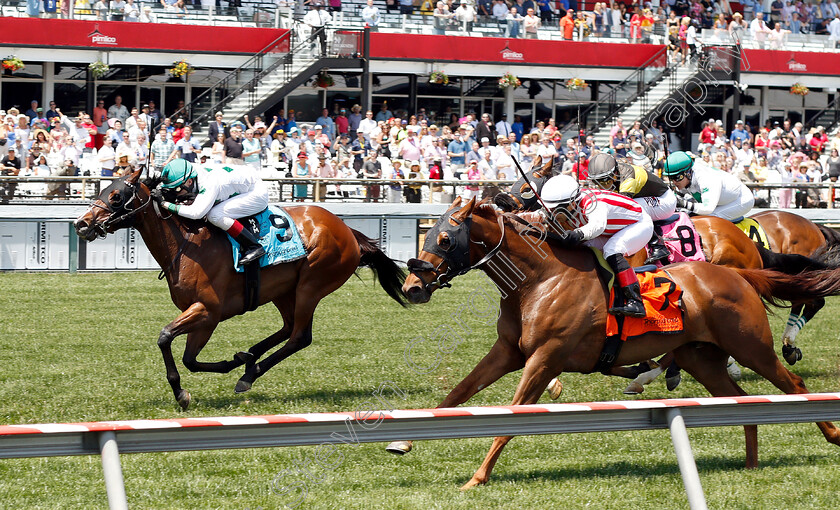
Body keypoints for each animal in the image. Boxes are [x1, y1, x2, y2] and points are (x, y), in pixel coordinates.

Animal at [74, 171, 408, 410]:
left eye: (116, 196)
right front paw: (228, 363)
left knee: (300, 336)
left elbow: (166, 337)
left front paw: (182, 392)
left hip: (312, 285)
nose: (81, 224)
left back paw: (249, 374)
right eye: (101, 192)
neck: (186, 244)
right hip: (284, 291)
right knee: (288, 328)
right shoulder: (201, 315)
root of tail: (347, 231)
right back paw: (249, 358)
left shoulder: (208, 311)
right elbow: (188, 358)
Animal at [394, 197, 840, 488]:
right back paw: (750, 462)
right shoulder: (508, 352)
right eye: (428, 234)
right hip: (700, 358)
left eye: (446, 239)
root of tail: (742, 273)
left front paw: (477, 477)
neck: (538, 280)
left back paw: (831, 433)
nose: (413, 285)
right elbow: (457, 393)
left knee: (793, 384)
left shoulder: (545, 357)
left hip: (751, 346)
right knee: (741, 399)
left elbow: (511, 419)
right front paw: (402, 440)